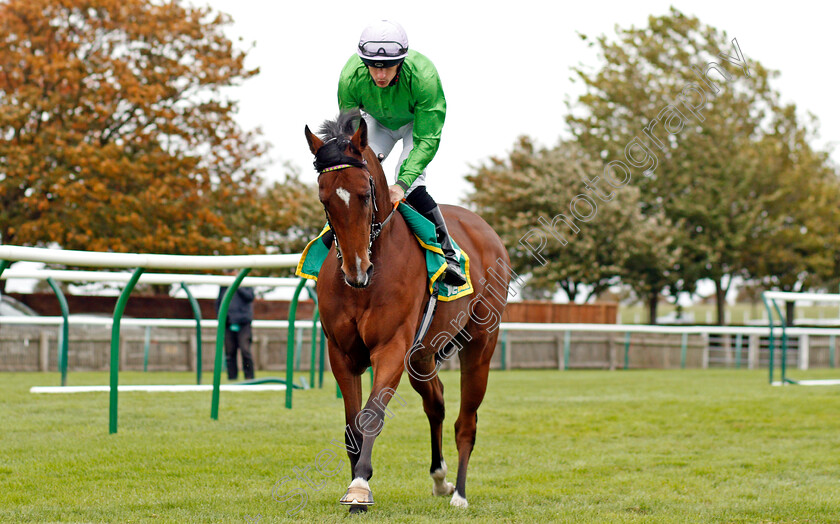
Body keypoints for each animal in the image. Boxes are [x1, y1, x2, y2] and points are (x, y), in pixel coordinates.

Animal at [306, 111, 508, 512]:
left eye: (365, 194)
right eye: (324, 199)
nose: (356, 271)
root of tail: (487, 231)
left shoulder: (391, 347)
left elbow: (371, 415)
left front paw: (360, 486)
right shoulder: (342, 353)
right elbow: (352, 424)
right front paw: (356, 482)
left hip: (480, 345)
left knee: (466, 421)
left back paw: (459, 493)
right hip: (423, 356)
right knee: (437, 403)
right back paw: (440, 480)